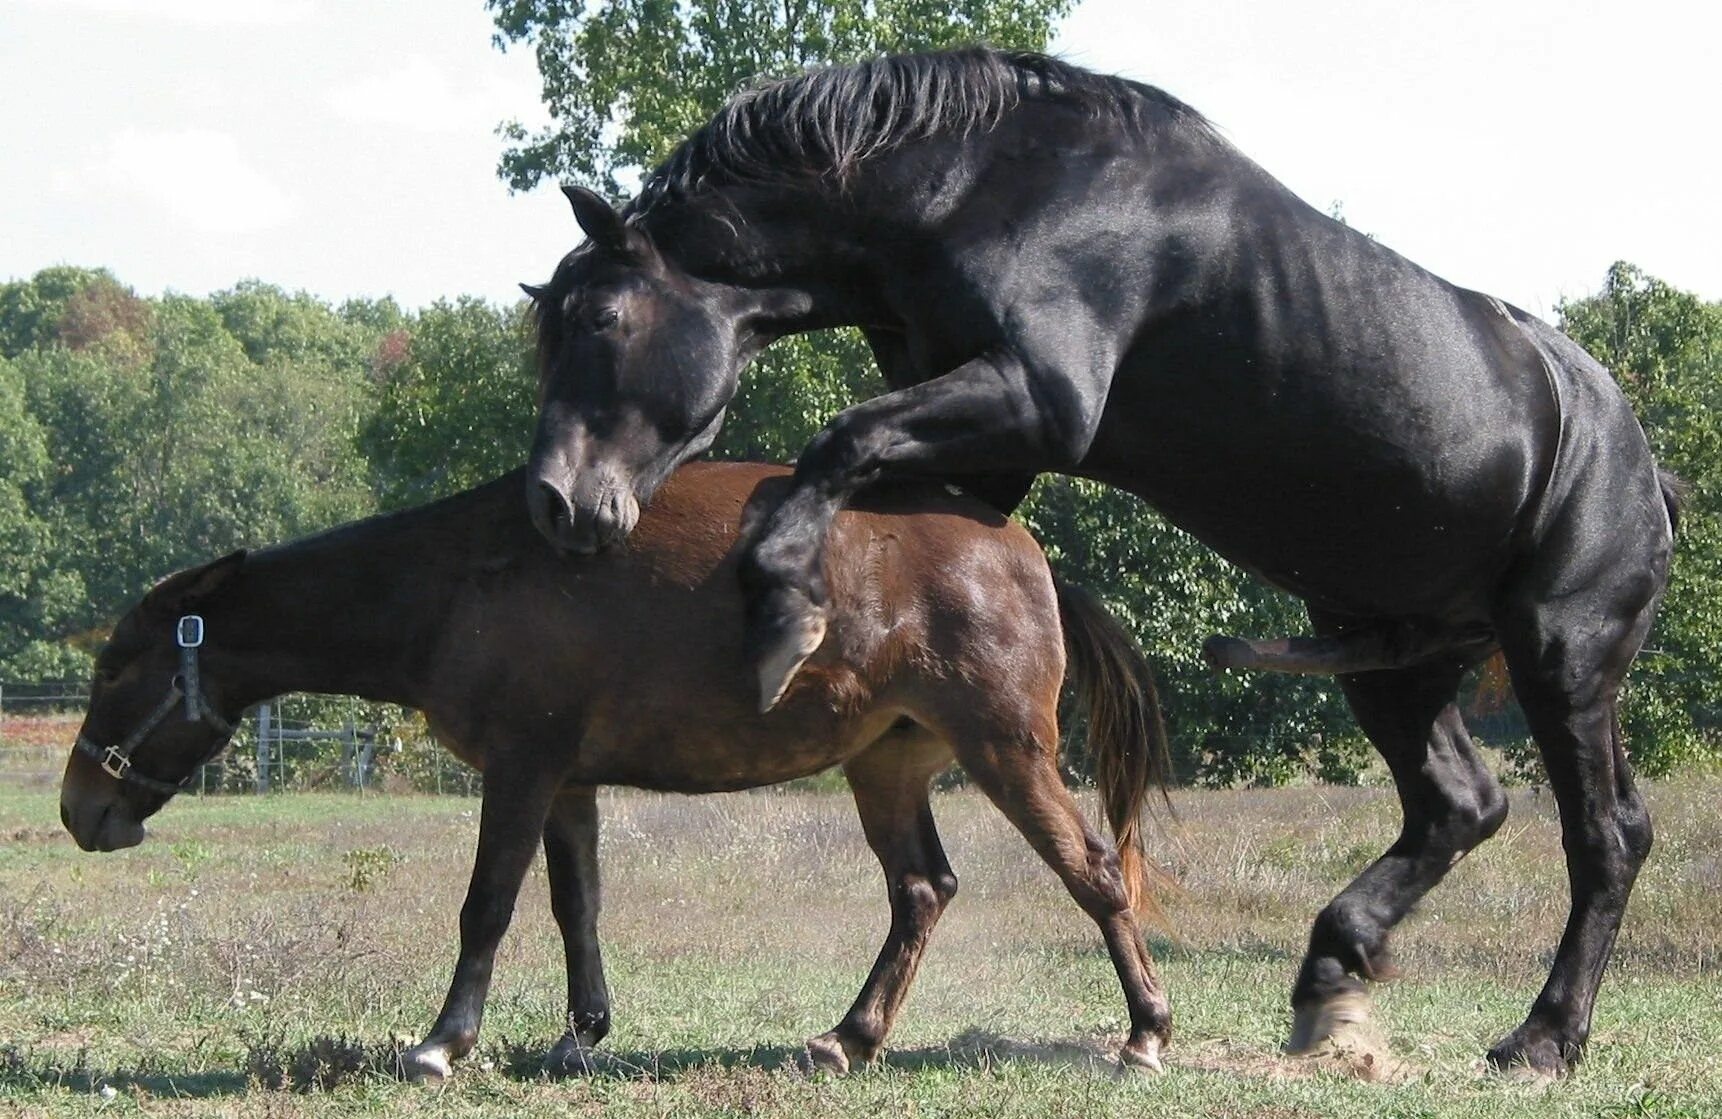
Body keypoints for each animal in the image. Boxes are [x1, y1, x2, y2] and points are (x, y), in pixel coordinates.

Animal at [63, 457, 1170, 1074]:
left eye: (119, 665)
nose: (82, 807)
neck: (455, 578)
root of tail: (1025, 555)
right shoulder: (567, 780)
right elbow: (575, 907)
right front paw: (580, 1032)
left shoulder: (521, 767)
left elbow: (488, 906)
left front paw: (444, 1041)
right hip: (886, 768)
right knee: (923, 891)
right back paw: (849, 1037)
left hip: (1006, 751)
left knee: (1093, 874)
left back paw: (1146, 1031)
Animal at [520, 50, 1680, 1074]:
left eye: (605, 317)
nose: (557, 500)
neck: (981, 184)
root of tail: (1640, 459)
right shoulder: (985, 445)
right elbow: (857, 486)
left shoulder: (1037, 396)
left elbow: (837, 443)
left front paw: (782, 611)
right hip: (1395, 665)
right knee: (1460, 806)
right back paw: (1330, 971)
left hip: (1562, 654)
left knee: (1607, 835)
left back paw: (1542, 1038)